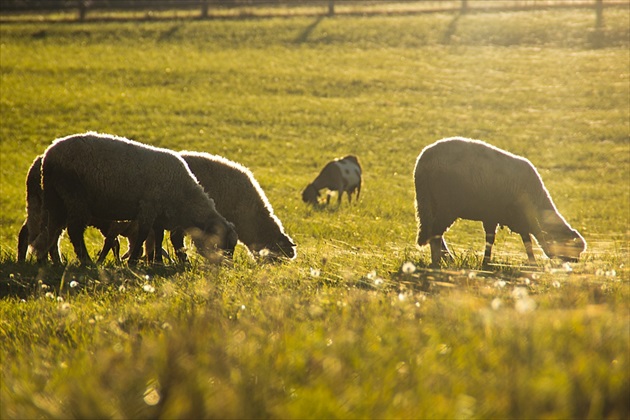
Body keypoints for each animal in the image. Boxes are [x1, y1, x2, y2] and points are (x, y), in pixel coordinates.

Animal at [30, 133, 237, 264]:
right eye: (222, 243)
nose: (226, 266)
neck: (185, 197)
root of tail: (49, 155)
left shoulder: (159, 212)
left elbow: (158, 236)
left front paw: (156, 262)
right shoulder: (148, 206)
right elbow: (144, 234)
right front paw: (134, 261)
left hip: (55, 198)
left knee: (52, 229)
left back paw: (46, 260)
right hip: (75, 196)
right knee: (74, 230)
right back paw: (86, 261)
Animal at [414, 138, 588, 270]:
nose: (575, 262)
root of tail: (423, 162)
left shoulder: (492, 216)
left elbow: (491, 240)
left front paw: (486, 262)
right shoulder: (518, 218)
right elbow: (527, 241)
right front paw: (533, 263)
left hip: (430, 203)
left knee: (435, 233)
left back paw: (445, 258)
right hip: (447, 205)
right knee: (435, 233)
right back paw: (437, 262)